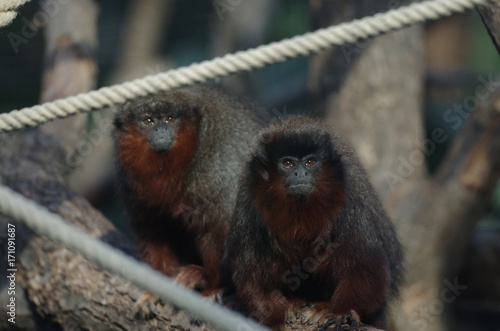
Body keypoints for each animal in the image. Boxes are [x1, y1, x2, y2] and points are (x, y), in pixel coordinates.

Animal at [113, 86, 268, 294]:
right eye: (149, 121)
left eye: (170, 119)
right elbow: (152, 230)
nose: (161, 129)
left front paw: (212, 285)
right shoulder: (130, 185)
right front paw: (157, 286)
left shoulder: (218, 169)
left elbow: (221, 227)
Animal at [223, 115, 402, 330]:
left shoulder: (348, 205)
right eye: (288, 164)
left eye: (310, 162)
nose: (300, 174)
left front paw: (338, 312)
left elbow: (368, 267)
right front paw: (271, 321)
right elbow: (252, 277)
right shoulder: (250, 208)